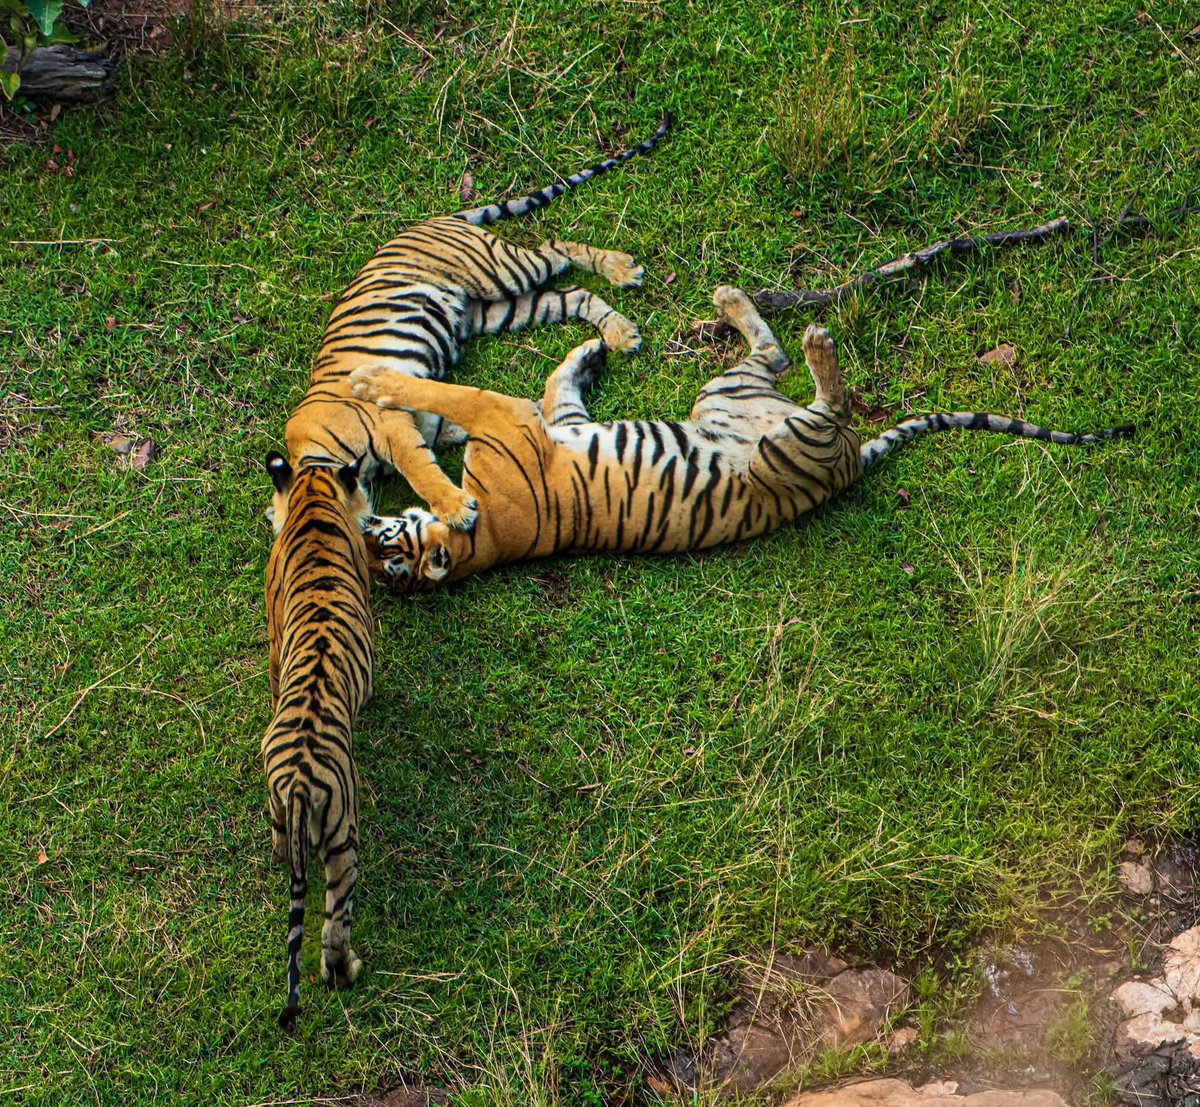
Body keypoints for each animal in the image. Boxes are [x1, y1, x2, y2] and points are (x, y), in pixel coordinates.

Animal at [279, 113, 671, 533]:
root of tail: (432, 220)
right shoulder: (426, 420)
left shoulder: (390, 423)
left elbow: (419, 468)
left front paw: (455, 509)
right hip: (497, 310)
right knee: (573, 294)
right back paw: (620, 332)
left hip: (501, 271)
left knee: (557, 248)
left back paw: (622, 271)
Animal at [343, 286, 1133, 591]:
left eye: (381, 541)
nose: (367, 521)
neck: (477, 549)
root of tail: (852, 465)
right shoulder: (505, 421)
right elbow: (458, 394)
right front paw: (371, 382)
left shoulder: (544, 420)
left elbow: (551, 384)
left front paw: (593, 350)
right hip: (787, 440)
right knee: (822, 394)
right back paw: (815, 343)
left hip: (724, 391)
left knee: (777, 356)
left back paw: (734, 302)